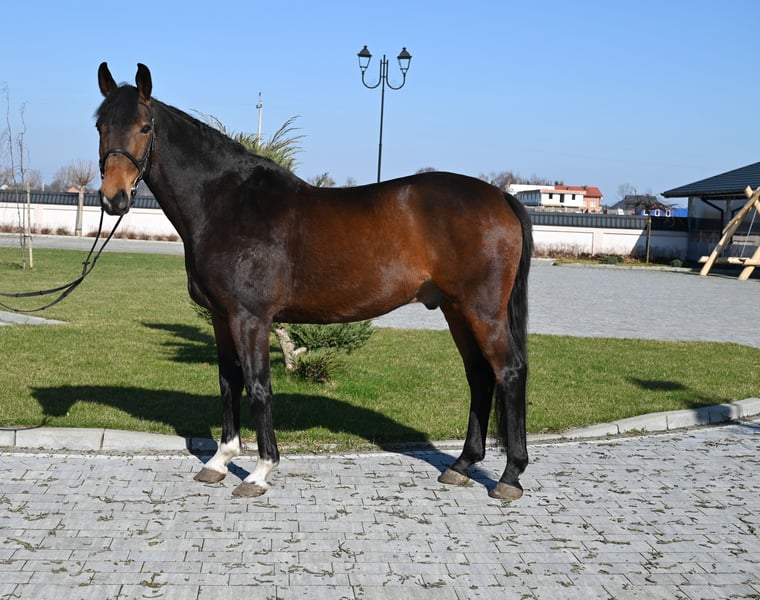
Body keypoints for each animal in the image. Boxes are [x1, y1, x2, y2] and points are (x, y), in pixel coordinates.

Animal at [95, 63, 533, 501]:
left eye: (145, 127)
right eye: (100, 125)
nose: (113, 199)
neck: (226, 203)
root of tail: (501, 197)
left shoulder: (250, 318)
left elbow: (258, 387)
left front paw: (259, 472)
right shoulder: (222, 317)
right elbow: (228, 383)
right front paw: (219, 461)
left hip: (482, 311)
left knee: (509, 371)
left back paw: (509, 476)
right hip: (455, 310)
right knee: (480, 376)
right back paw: (461, 465)